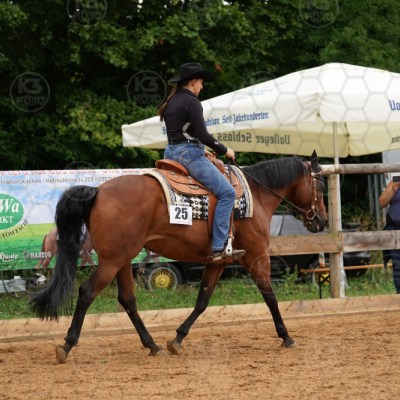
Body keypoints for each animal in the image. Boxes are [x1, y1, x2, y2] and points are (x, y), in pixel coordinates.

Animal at [30, 151, 327, 363]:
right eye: (321, 183)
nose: (322, 221)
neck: (256, 195)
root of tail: (98, 191)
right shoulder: (257, 257)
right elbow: (270, 297)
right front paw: (286, 336)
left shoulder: (217, 262)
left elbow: (202, 301)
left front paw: (177, 339)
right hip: (111, 261)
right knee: (87, 292)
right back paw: (67, 344)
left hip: (122, 260)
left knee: (127, 300)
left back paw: (152, 345)